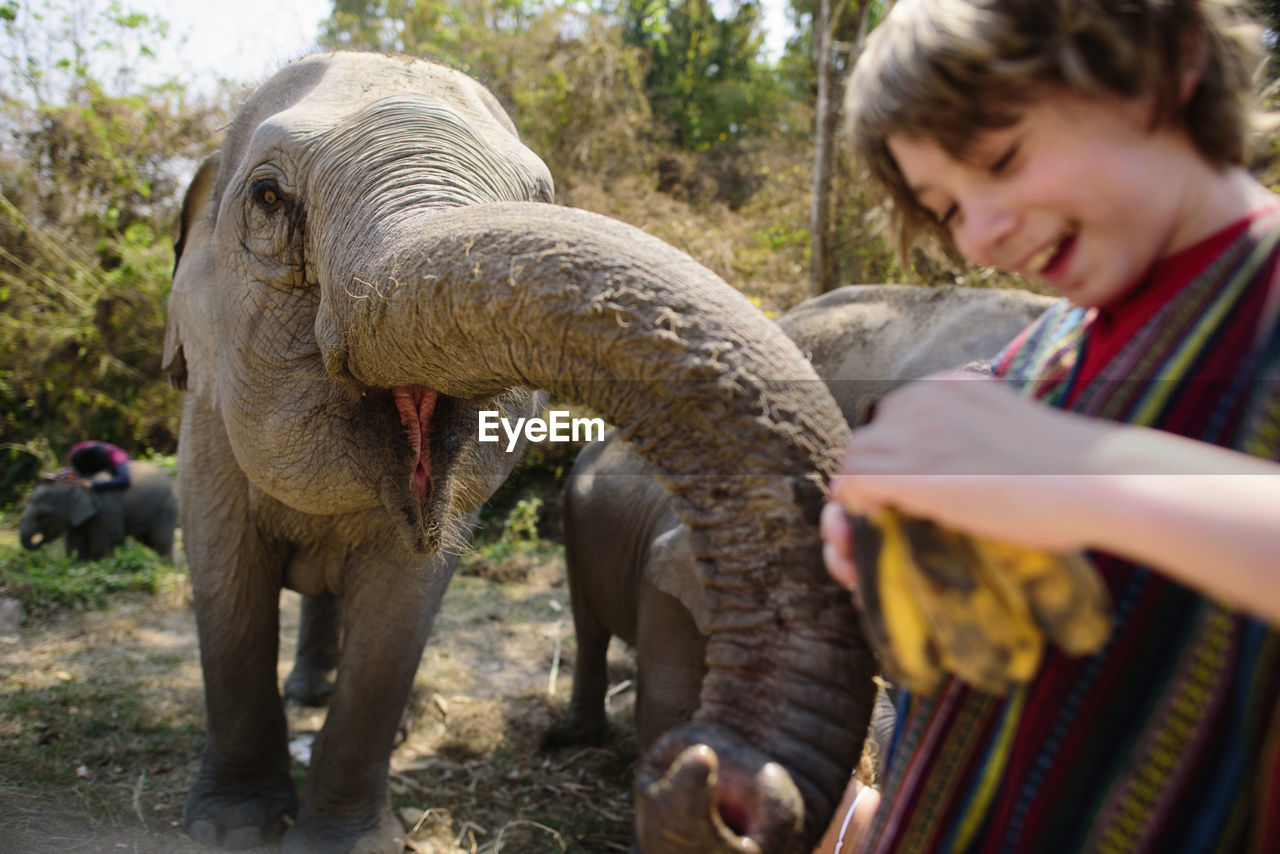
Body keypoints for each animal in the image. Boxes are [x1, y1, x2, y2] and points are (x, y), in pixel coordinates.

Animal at [18, 460, 179, 560]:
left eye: (43, 516)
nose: (42, 544)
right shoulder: (76, 516)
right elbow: (74, 544)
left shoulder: (107, 511)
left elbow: (101, 543)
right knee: (149, 542)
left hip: (166, 507)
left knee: (159, 541)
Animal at [160, 51, 880, 854]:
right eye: (267, 196)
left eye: (542, 197)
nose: (722, 782)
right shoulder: (204, 422)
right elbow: (225, 578)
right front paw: (232, 828)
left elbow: (399, 610)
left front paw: (341, 842)